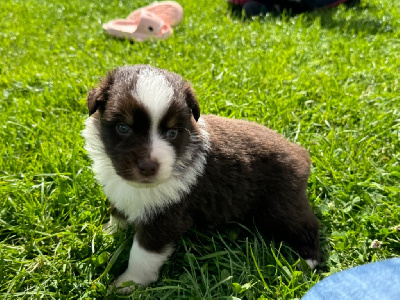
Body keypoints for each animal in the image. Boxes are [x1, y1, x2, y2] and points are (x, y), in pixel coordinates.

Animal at [82, 64, 322, 292]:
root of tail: (300, 153)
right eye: (123, 128)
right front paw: (108, 233)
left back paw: (308, 261)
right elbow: (117, 212)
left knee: (307, 225)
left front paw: (127, 284)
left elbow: (142, 256)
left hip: (282, 206)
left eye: (172, 133)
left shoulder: (165, 218)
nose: (149, 167)